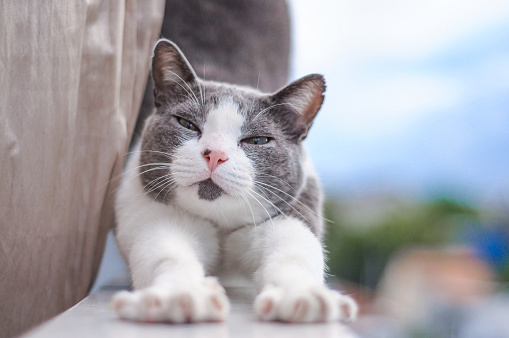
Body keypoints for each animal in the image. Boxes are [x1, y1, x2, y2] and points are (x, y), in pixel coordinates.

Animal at [111, 38, 358, 324]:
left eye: (257, 140)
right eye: (187, 124)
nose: (215, 154)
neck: (221, 224)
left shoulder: (293, 211)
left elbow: (294, 253)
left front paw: (303, 296)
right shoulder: (153, 213)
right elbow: (165, 253)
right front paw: (180, 295)